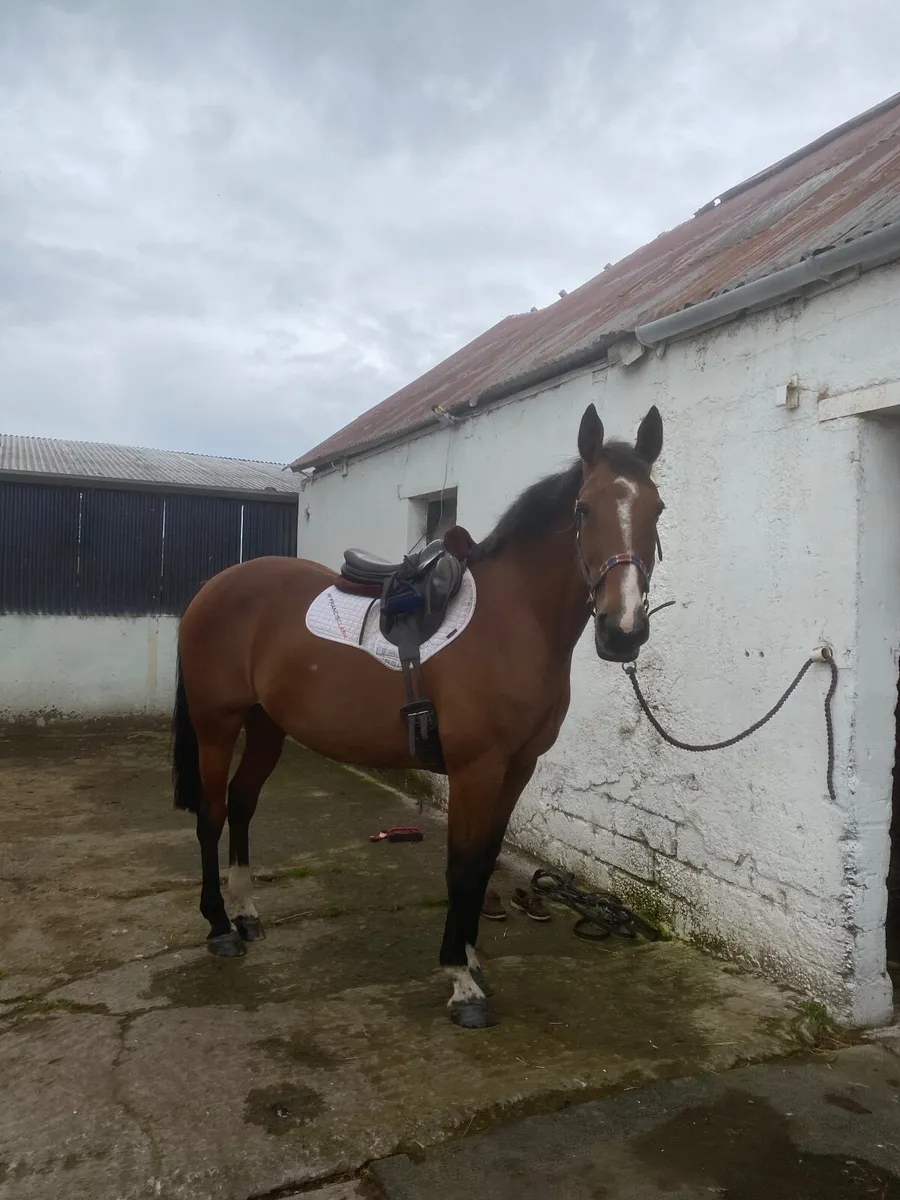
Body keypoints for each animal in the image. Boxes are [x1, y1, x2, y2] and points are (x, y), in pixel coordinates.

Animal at [171, 403, 665, 1029]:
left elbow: (485, 862)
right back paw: (219, 926)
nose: (623, 631)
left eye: (657, 509)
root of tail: (211, 588)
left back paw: (246, 913)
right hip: (217, 724)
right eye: (584, 508)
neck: (515, 621)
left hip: (266, 724)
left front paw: (473, 959)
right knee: (211, 814)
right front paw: (462, 981)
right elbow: (463, 866)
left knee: (241, 802)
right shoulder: (477, 769)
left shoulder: (517, 769)